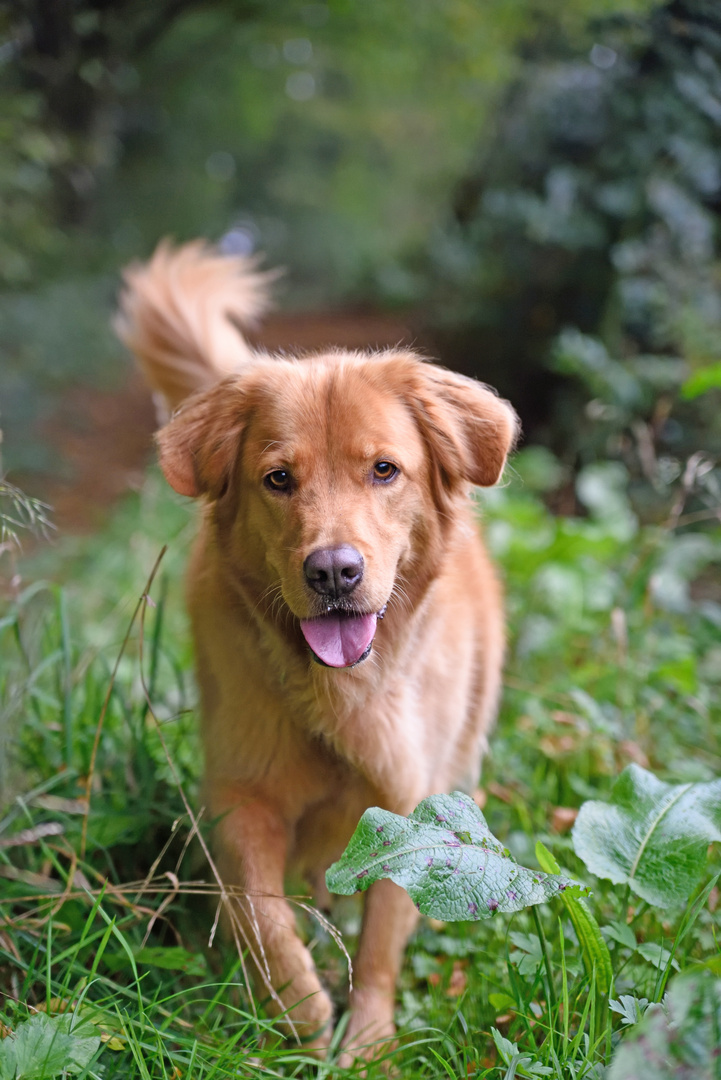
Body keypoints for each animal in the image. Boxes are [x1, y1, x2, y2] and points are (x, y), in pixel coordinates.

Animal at [113, 238, 518, 1062]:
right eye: (278, 479)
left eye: (384, 469)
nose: (333, 572)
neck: (343, 690)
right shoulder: (241, 794)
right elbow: (261, 911)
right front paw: (298, 1009)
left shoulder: (410, 804)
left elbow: (382, 937)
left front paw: (368, 1042)